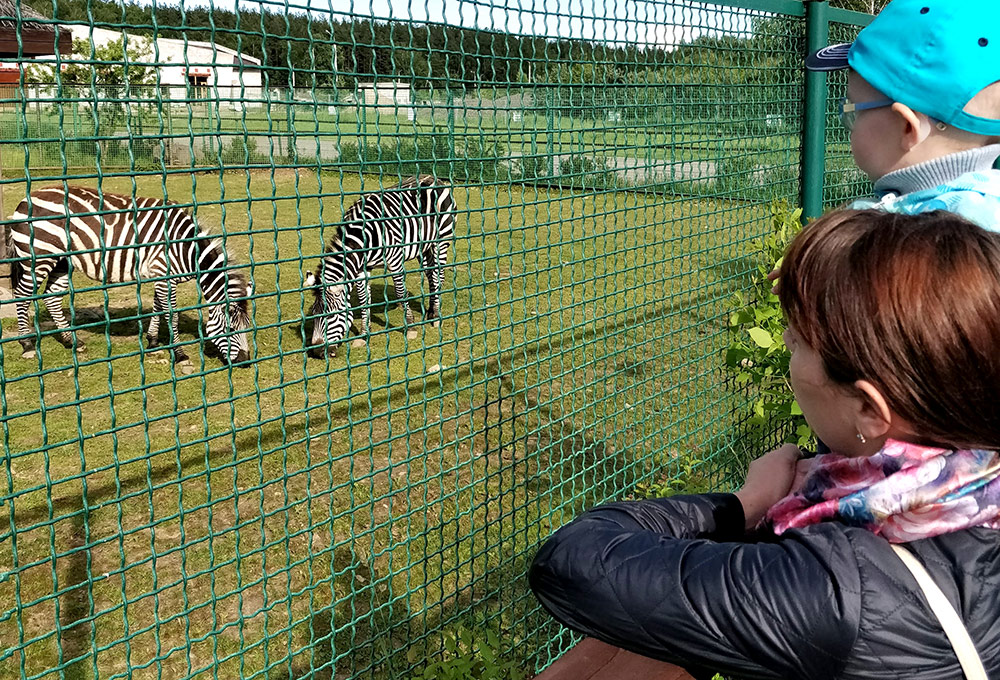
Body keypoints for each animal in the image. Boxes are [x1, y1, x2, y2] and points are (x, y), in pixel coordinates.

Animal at [9, 185, 254, 366]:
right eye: (231, 329)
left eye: (248, 326)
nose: (245, 361)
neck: (185, 248)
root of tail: (27, 197)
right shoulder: (164, 272)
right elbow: (171, 315)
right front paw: (180, 354)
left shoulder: (159, 274)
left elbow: (157, 308)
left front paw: (153, 341)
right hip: (39, 258)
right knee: (22, 295)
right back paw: (27, 345)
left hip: (62, 261)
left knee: (52, 298)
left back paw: (72, 342)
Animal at [304, 174, 458, 356]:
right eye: (314, 314)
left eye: (331, 316)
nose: (317, 352)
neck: (364, 237)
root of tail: (433, 178)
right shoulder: (362, 269)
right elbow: (363, 299)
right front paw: (364, 335)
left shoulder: (395, 261)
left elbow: (400, 292)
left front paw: (410, 328)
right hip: (424, 247)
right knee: (430, 276)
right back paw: (431, 312)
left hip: (441, 241)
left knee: (438, 276)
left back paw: (436, 316)